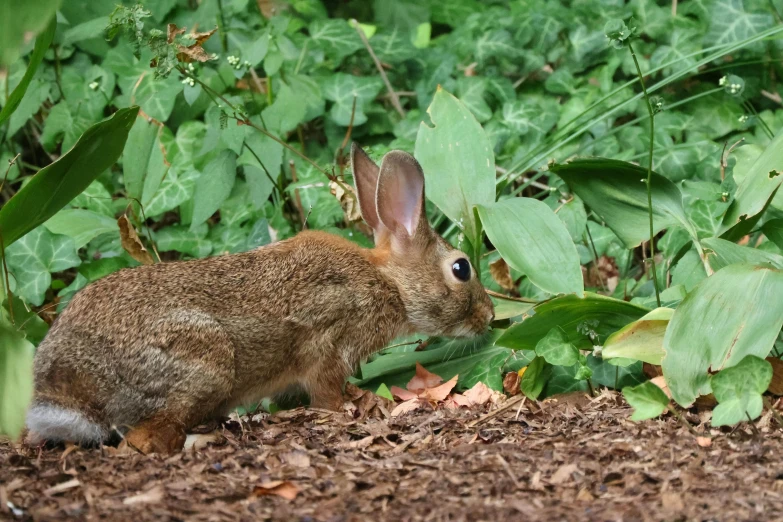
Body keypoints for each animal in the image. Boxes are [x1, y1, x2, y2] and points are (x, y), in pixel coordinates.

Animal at [26, 142, 496, 450]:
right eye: (461, 268)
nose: (489, 317)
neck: (388, 283)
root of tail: (70, 388)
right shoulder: (328, 341)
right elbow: (326, 391)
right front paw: (350, 409)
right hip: (204, 360)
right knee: (144, 438)